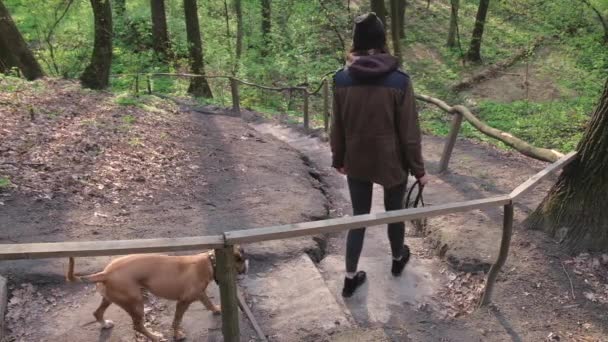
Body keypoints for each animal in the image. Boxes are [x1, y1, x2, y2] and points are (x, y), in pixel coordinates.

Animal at [67, 248, 247, 342]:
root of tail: (105, 273)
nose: (248, 264)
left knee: (97, 312)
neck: (211, 262)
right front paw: (176, 335)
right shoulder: (183, 302)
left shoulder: (199, 294)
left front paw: (216, 309)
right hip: (136, 304)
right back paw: (155, 337)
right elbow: (176, 320)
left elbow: (208, 303)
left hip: (111, 298)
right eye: (242, 259)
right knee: (138, 326)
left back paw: (105, 324)